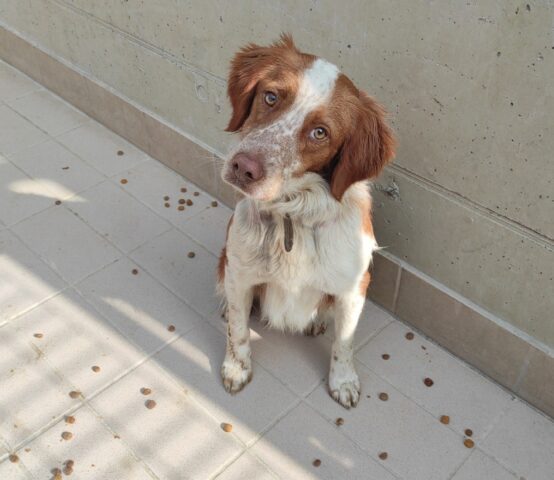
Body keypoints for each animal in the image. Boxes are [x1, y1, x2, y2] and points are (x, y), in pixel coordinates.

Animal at [216, 35, 392, 406]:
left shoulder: (355, 287)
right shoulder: (240, 271)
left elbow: (344, 342)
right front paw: (236, 368)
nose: (243, 167)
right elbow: (238, 330)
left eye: (320, 132)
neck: (292, 215)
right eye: (271, 96)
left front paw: (343, 381)